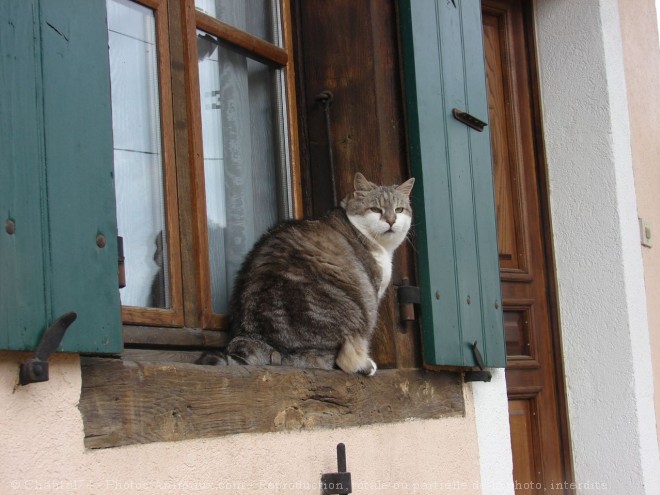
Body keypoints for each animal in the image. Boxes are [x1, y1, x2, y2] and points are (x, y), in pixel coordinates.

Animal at [201, 172, 416, 374]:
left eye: (399, 210)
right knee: (339, 358)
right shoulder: (373, 289)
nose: (391, 220)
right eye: (376, 210)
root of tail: (257, 337)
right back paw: (365, 365)